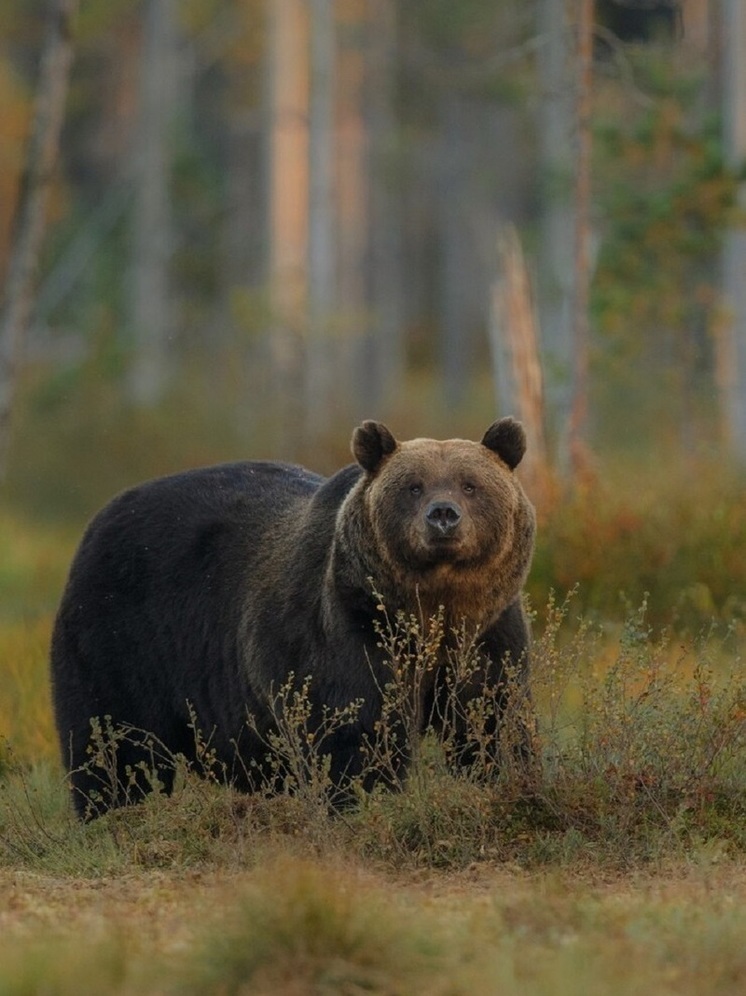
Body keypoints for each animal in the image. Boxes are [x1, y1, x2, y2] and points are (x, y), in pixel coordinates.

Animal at [50, 418, 536, 816]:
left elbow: (493, 715)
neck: (431, 609)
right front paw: (364, 798)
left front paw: (503, 777)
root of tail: (102, 515)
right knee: (111, 739)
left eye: (470, 484)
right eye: (413, 486)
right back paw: (114, 810)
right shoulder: (348, 625)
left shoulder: (489, 631)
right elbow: (354, 726)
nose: (443, 516)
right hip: (120, 633)